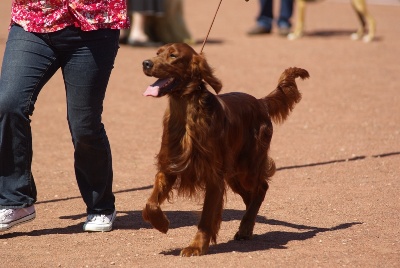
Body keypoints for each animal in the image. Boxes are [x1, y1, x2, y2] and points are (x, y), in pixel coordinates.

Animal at [141, 43, 310, 256]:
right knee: (251, 197)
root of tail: (260, 102)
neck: (187, 113)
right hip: (233, 174)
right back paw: (247, 226)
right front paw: (162, 223)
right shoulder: (170, 166)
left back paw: (245, 228)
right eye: (157, 52)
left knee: (261, 188)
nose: (146, 63)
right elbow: (150, 203)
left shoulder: (213, 175)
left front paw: (196, 246)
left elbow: (206, 216)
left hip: (246, 167)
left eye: (173, 55)